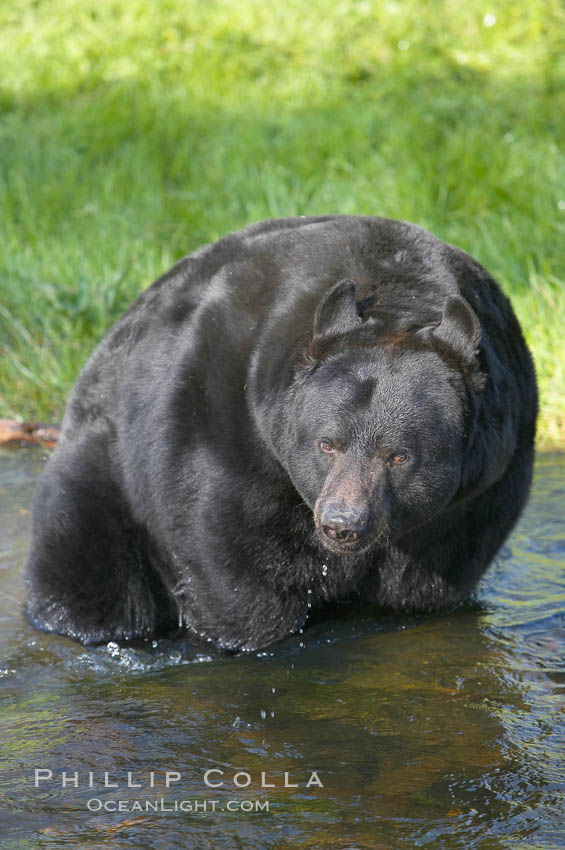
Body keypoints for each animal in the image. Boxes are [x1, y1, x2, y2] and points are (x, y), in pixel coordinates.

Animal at [26, 215, 536, 644]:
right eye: (328, 444)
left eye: (398, 455)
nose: (342, 525)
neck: (398, 296)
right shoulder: (228, 428)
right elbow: (231, 561)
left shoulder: (483, 484)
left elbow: (427, 582)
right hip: (104, 474)